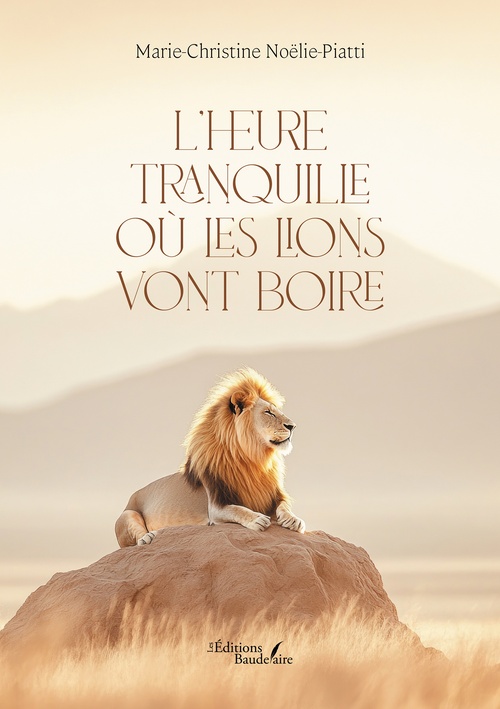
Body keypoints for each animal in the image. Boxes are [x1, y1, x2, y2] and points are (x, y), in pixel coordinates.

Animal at [115, 368, 305, 547]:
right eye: (268, 413)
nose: (293, 426)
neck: (253, 459)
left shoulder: (274, 494)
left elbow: (284, 505)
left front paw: (294, 520)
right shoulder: (215, 506)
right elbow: (236, 509)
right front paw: (257, 519)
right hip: (128, 515)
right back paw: (147, 537)